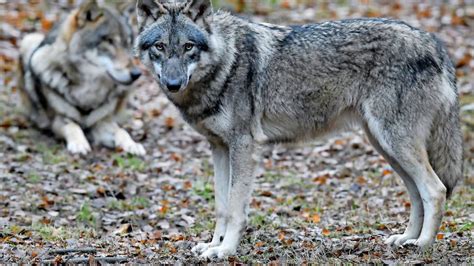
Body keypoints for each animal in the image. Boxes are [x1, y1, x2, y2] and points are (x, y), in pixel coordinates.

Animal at [19, 0, 144, 156]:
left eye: (127, 43)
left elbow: (121, 131)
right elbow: (73, 126)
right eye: (109, 41)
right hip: (29, 40)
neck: (89, 91)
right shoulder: (59, 120)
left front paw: (132, 145)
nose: (136, 74)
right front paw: (79, 144)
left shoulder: (101, 122)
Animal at [134, 0, 462, 258]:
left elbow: (236, 207)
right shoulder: (219, 148)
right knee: (417, 194)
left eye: (188, 47)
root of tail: (433, 42)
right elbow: (221, 206)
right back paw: (406, 239)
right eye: (160, 47)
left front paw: (226, 251)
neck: (225, 62)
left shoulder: (244, 146)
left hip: (395, 143)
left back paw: (423, 245)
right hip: (386, 146)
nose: (173, 84)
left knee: (435, 190)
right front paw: (213, 246)